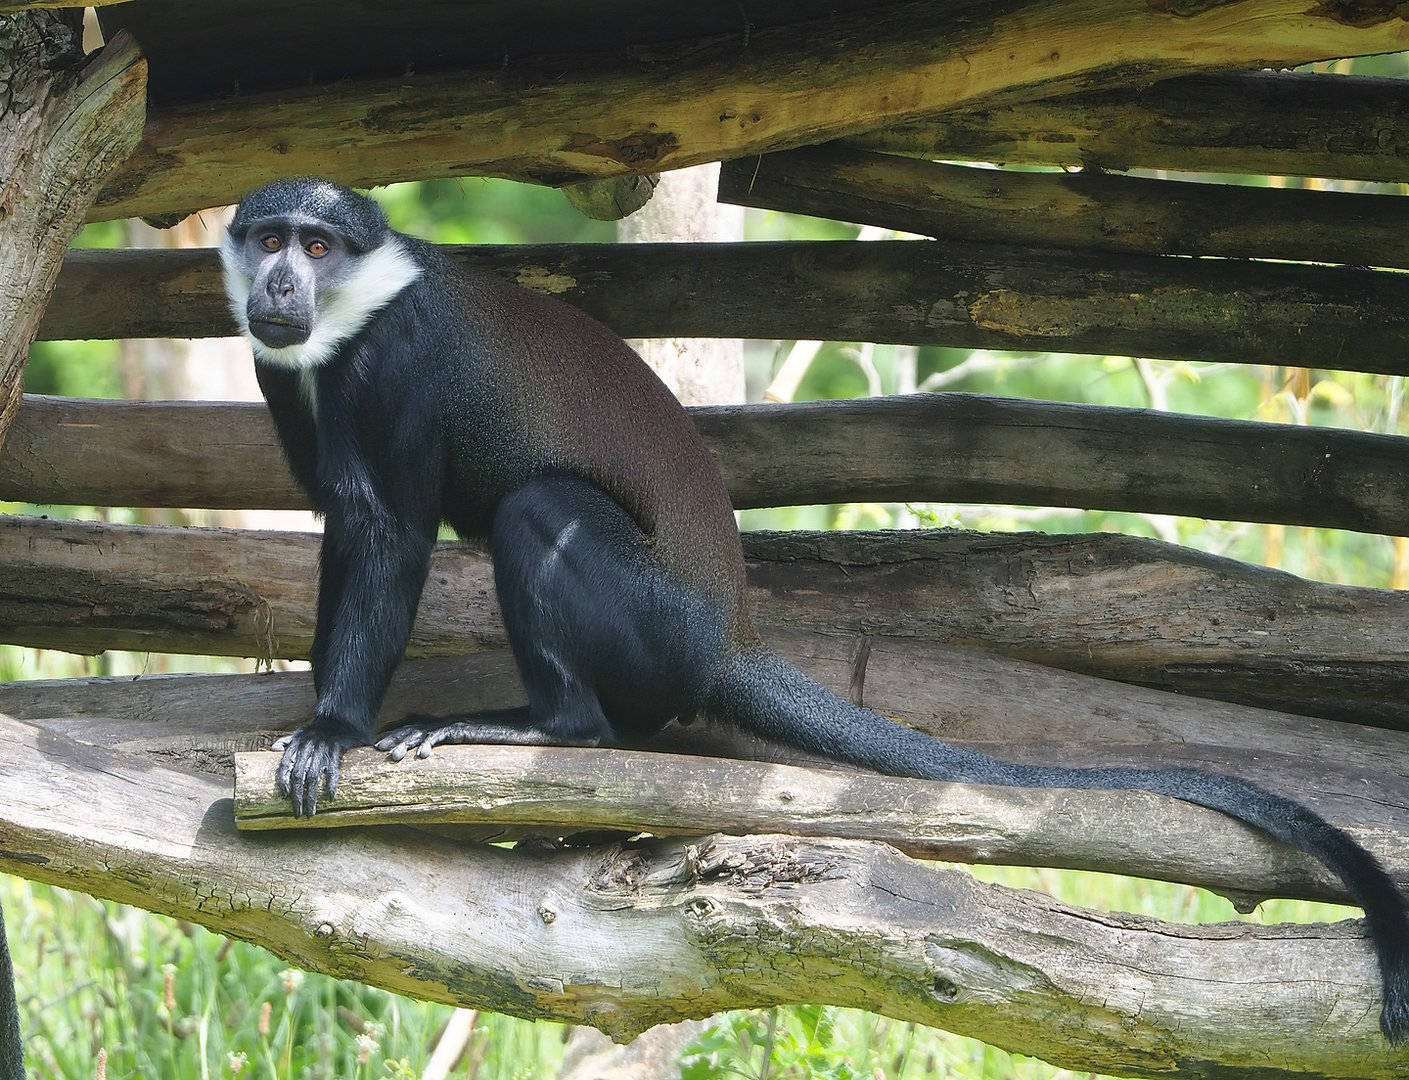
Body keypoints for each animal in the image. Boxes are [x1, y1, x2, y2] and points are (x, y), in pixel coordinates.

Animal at [221, 176, 1409, 1042]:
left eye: (317, 248)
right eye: (271, 237)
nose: (278, 280)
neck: (354, 317)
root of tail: (727, 641)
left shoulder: (397, 364)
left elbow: (388, 532)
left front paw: (333, 726)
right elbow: (343, 529)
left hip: (648, 621)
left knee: (538, 519)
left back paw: (550, 727)